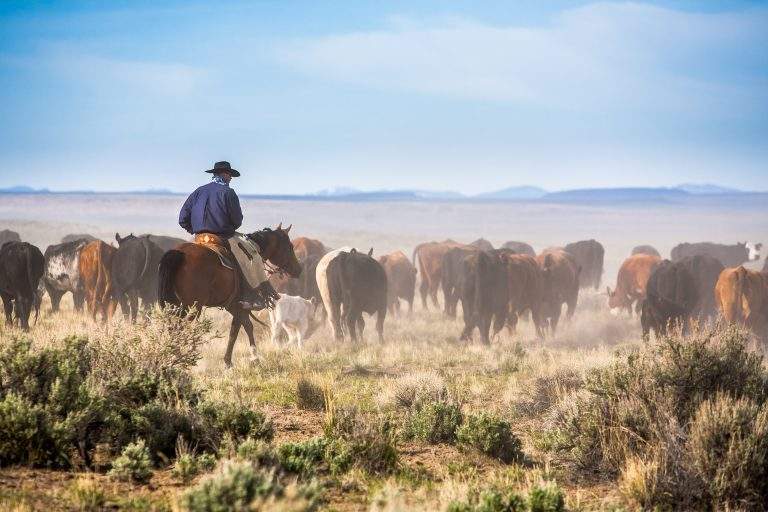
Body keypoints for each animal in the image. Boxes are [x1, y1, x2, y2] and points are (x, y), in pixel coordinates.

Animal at [157, 224, 301, 367]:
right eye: (290, 246)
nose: (298, 270)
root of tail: (178, 254)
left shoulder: (233, 306)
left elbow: (246, 326)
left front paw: (252, 357)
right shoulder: (239, 306)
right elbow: (236, 330)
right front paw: (231, 361)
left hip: (174, 306)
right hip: (192, 308)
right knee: (180, 330)